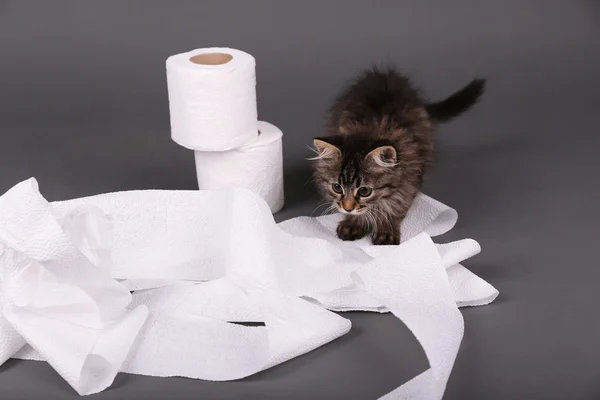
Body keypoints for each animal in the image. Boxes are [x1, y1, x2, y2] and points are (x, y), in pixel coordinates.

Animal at [312, 66, 486, 244]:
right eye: (337, 187)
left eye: (364, 191)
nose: (347, 208)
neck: (371, 127)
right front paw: (354, 223)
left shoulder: (410, 179)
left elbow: (395, 207)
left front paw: (385, 230)